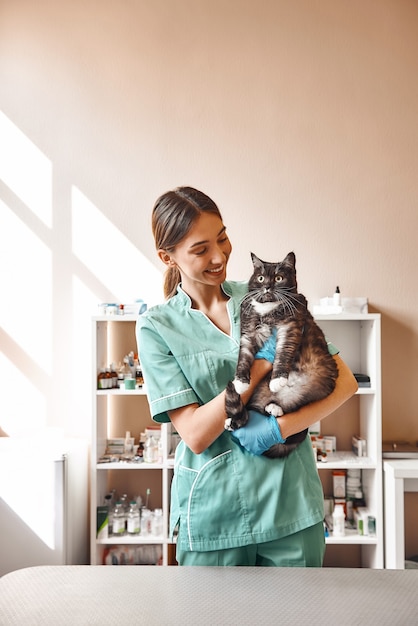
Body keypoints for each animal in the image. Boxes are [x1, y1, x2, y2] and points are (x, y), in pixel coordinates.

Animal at [225, 250, 340, 458]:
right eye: (261, 278)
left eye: (279, 278)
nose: (267, 286)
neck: (267, 308)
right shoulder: (249, 332)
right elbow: (243, 356)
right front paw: (240, 382)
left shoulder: (291, 326)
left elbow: (283, 352)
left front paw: (278, 378)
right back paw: (237, 420)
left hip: (318, 385)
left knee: (295, 410)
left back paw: (275, 408)